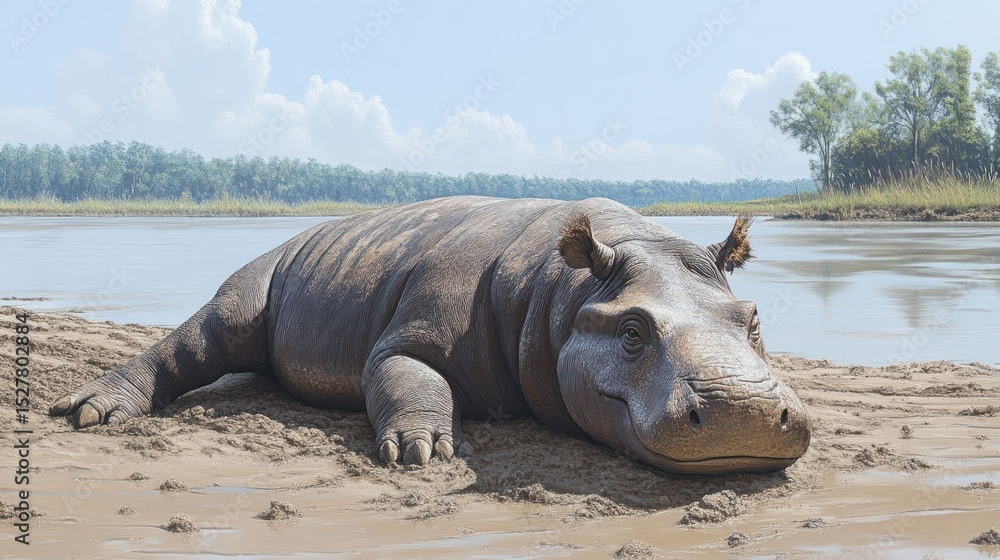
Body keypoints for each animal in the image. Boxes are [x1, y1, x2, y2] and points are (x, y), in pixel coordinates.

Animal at [50, 196, 810, 474]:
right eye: (631, 333)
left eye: (755, 324)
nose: (743, 417)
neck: (566, 292)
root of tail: (301, 233)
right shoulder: (413, 330)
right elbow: (404, 369)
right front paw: (427, 452)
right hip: (271, 263)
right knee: (221, 323)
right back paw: (89, 416)